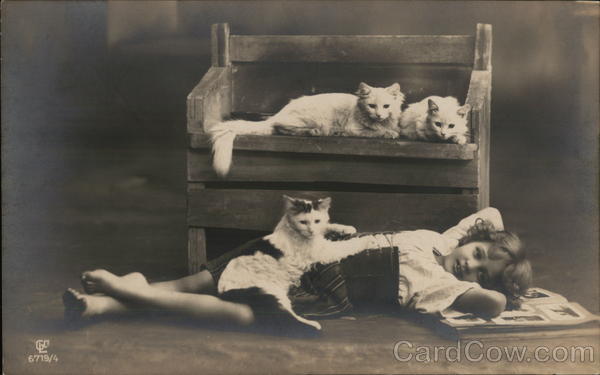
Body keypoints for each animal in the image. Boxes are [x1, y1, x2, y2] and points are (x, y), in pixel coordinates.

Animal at [209, 82, 406, 176]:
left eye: (386, 106)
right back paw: (314, 132)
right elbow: (374, 131)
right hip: (311, 118)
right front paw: (390, 133)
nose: (379, 115)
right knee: (281, 127)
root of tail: (280, 112)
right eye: (372, 106)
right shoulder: (355, 128)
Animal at [216, 195, 376, 330]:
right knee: (284, 317)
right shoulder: (325, 250)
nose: (311, 231)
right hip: (269, 294)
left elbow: (327, 225)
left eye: (316, 221)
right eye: (303, 222)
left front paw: (346, 228)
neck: (292, 230)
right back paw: (312, 325)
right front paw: (370, 240)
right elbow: (350, 245)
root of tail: (222, 291)